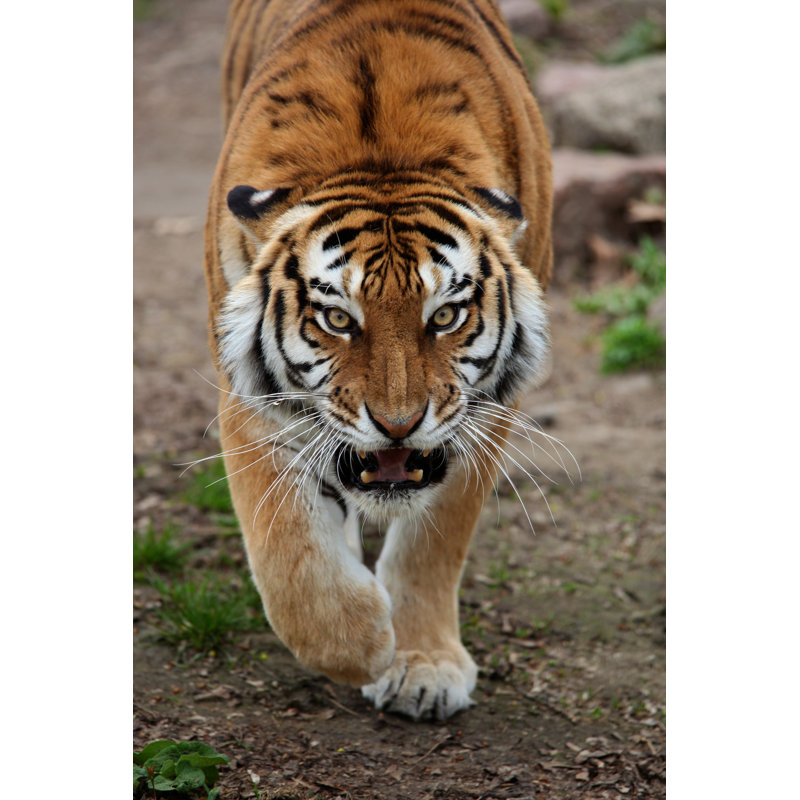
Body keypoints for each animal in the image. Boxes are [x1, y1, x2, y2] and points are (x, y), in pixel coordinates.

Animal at [203, 0, 554, 720]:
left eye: (444, 316)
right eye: (338, 319)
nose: (397, 425)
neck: (381, 154)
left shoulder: (484, 411)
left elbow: (436, 536)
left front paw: (421, 667)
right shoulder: (249, 400)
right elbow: (288, 554)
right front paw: (364, 642)